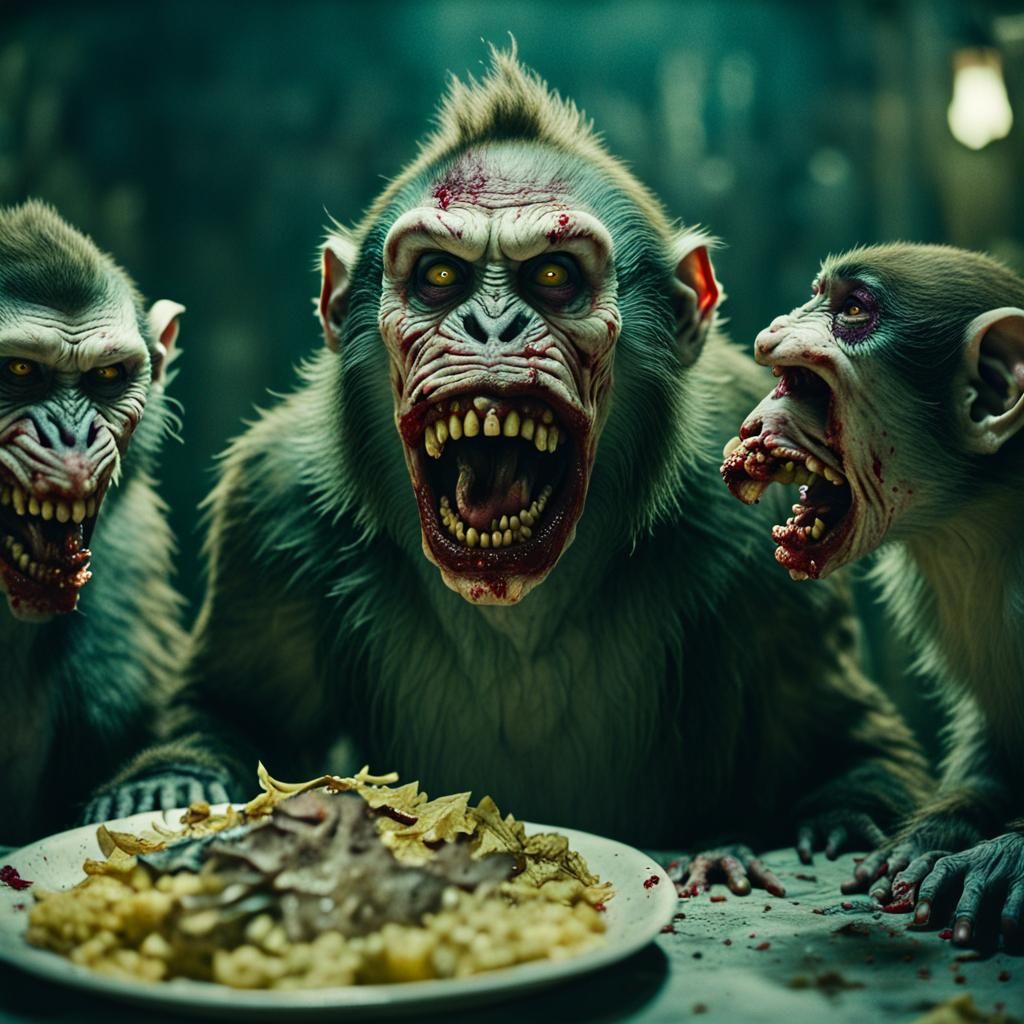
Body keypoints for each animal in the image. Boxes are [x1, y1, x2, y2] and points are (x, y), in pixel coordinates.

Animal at [115, 51, 928, 887]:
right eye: (441, 276)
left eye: (553, 276)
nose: (492, 324)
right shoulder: (272, 504)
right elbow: (229, 710)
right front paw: (168, 788)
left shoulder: (765, 531)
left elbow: (844, 744)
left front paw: (840, 818)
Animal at [721, 242, 1024, 944]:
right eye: (816, 294)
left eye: (854, 310)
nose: (772, 332)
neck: (983, 512)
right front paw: (933, 835)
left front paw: (997, 859)